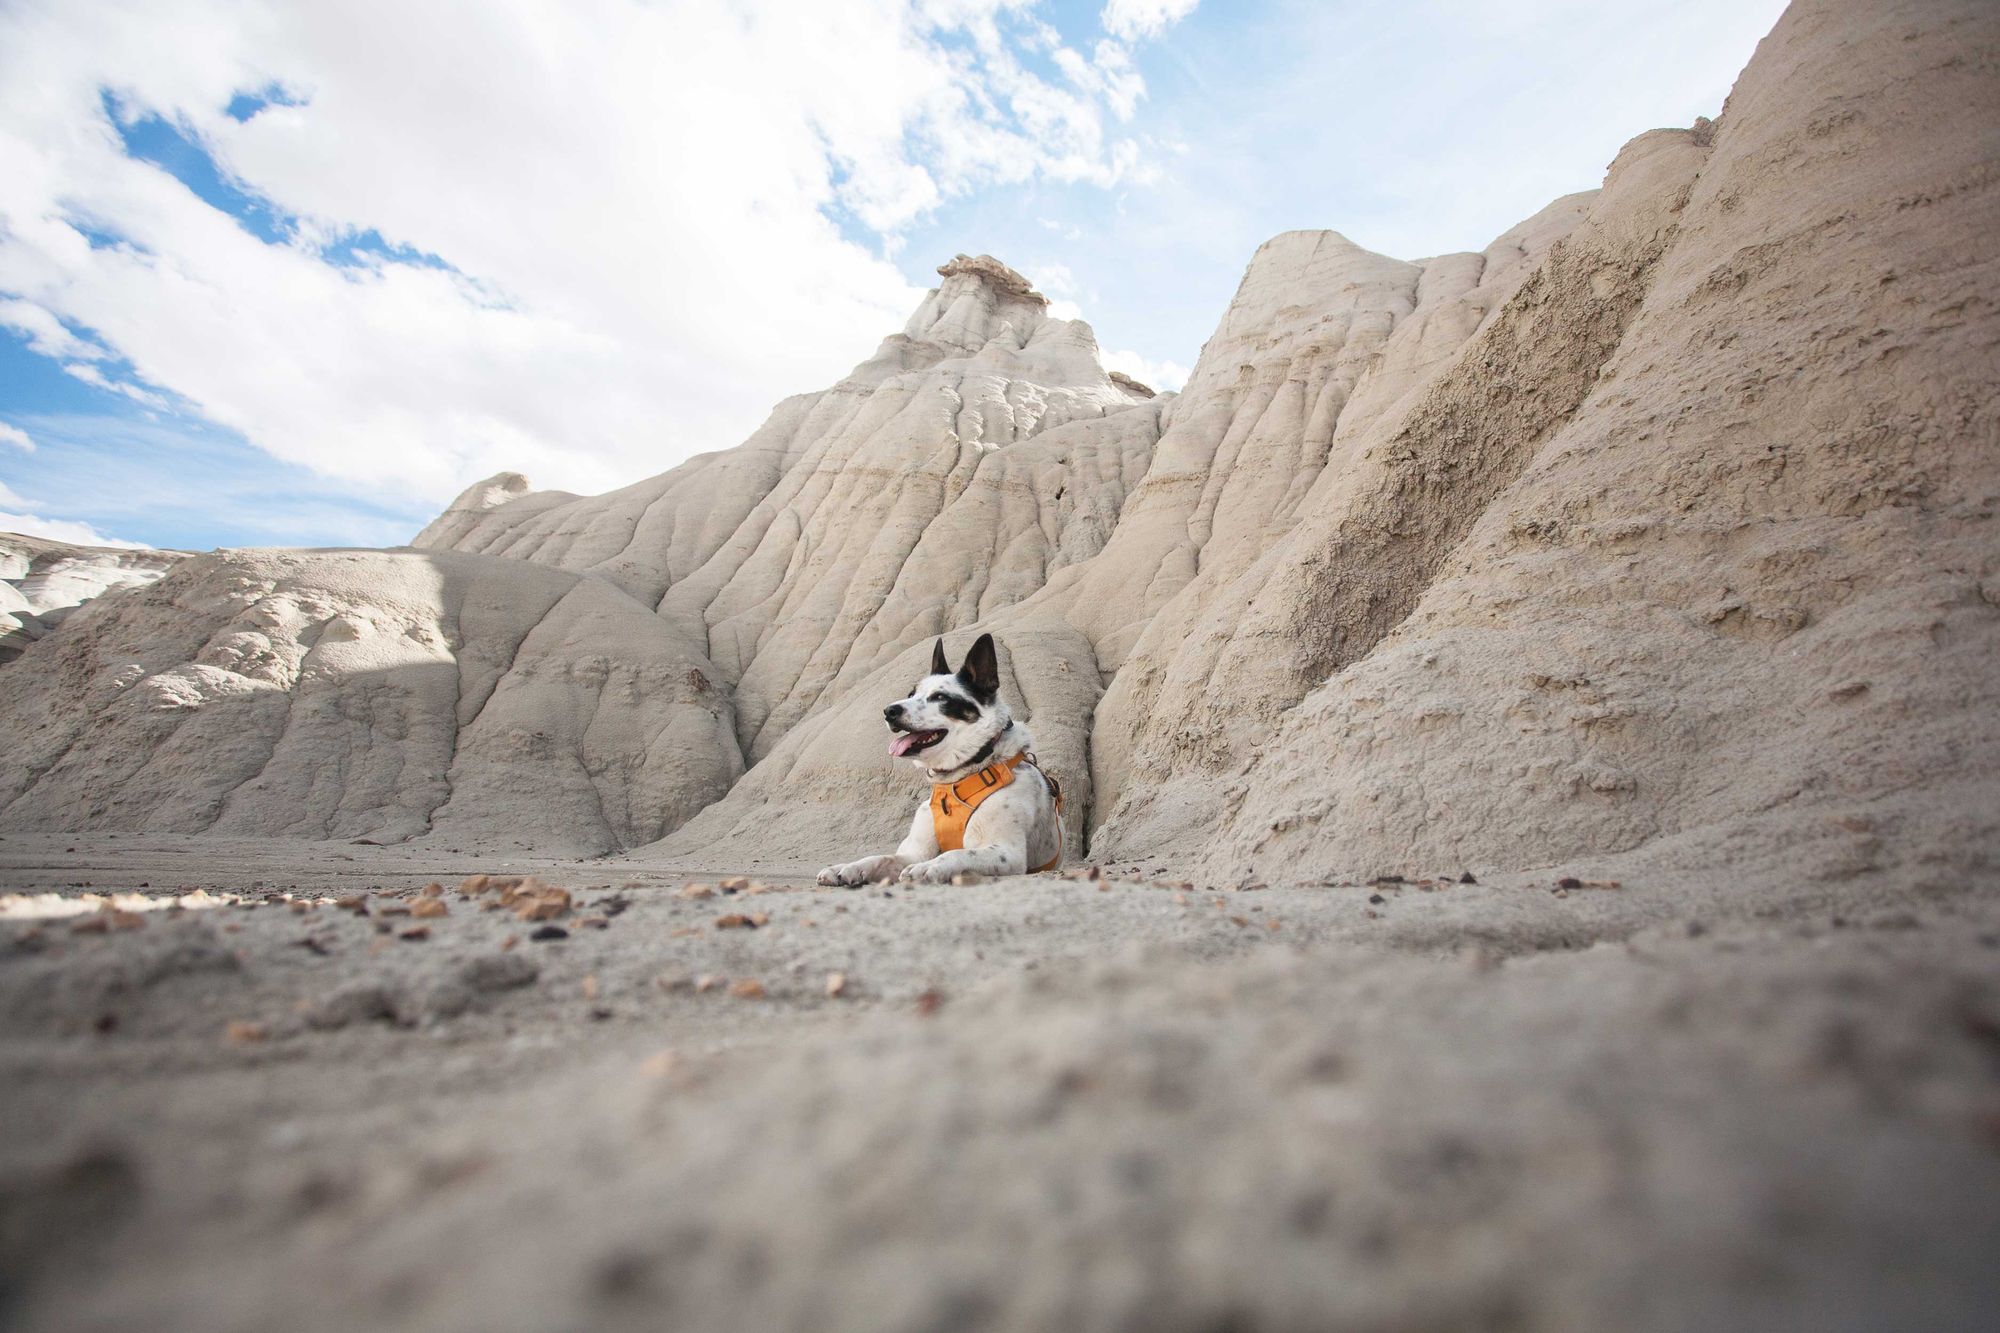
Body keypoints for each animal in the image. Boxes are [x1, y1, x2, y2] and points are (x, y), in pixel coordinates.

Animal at [812, 632, 1064, 880]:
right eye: (911, 694)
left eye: (941, 697)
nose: (889, 711)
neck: (956, 781)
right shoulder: (914, 852)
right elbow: (881, 857)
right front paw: (847, 867)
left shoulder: (1006, 852)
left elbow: (956, 854)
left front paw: (928, 867)